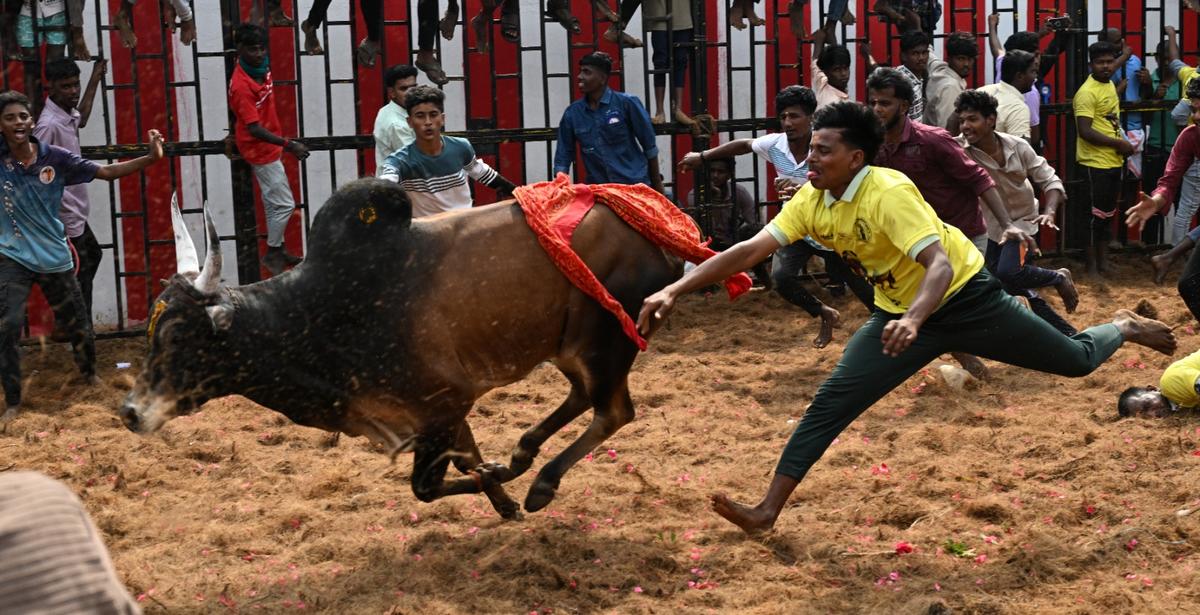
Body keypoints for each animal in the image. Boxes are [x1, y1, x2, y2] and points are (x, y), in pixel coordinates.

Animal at [119, 179, 682, 518]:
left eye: (180, 336)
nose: (130, 411)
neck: (316, 312)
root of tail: (653, 236)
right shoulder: (442, 414)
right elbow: (466, 461)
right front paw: (500, 489)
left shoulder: (444, 402)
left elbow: (427, 486)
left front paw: (499, 484)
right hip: (567, 348)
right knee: (582, 398)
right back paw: (523, 453)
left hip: (604, 344)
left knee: (613, 411)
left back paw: (541, 482)